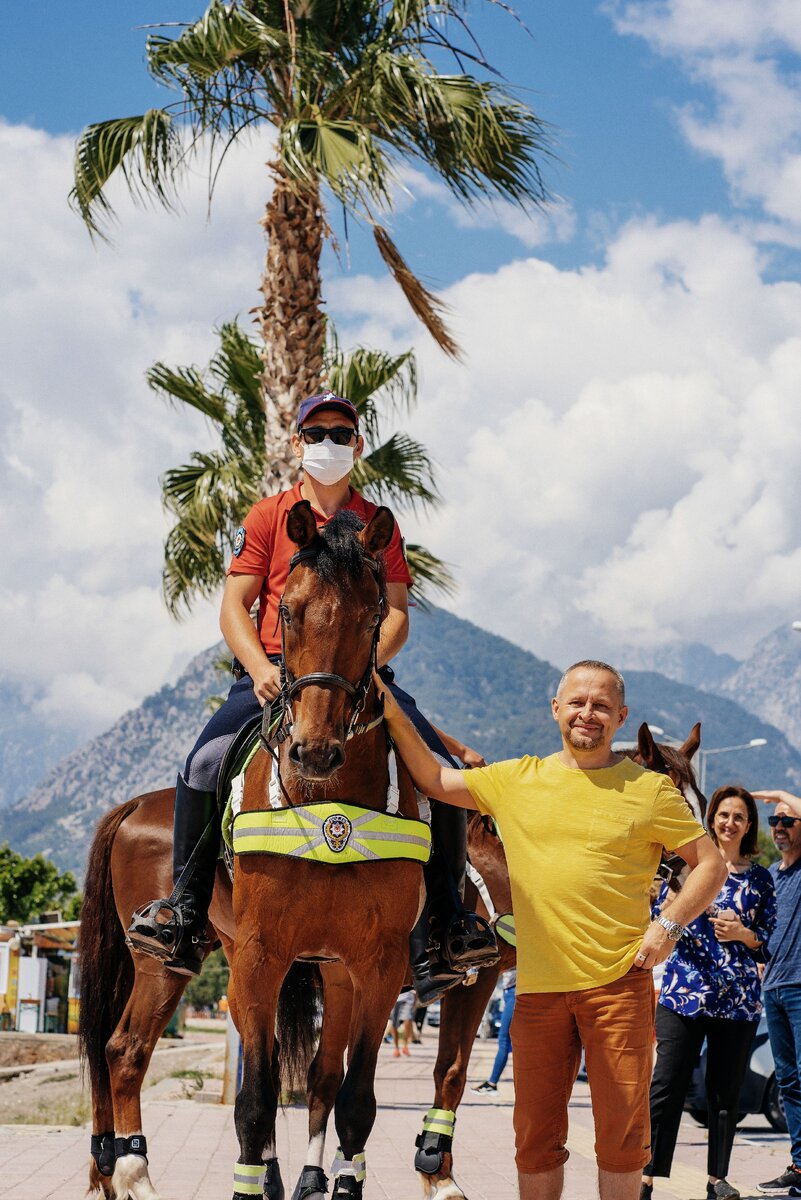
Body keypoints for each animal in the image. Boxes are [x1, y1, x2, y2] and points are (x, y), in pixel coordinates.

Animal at [79, 504, 424, 1200]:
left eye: (374, 613)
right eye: (286, 609)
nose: (313, 751)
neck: (328, 805)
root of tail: (132, 806)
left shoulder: (374, 964)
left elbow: (351, 1099)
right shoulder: (263, 956)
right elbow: (256, 1099)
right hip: (162, 962)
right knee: (124, 1051)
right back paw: (135, 1176)